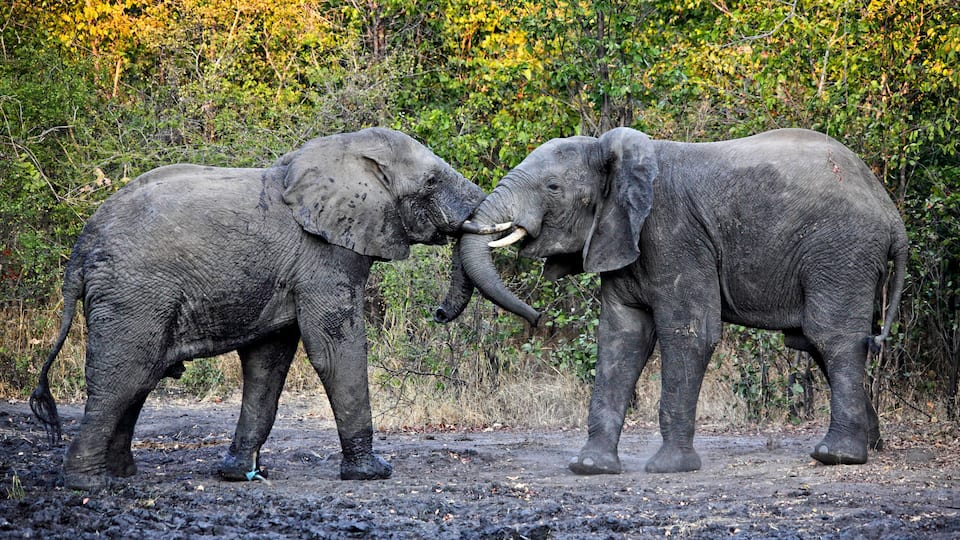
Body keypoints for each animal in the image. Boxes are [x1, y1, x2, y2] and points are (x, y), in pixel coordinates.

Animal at [29, 127, 484, 490]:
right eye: (431, 180)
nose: (438, 314)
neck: (343, 150)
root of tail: (81, 251)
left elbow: (268, 362)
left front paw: (240, 474)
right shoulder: (323, 254)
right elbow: (334, 349)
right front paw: (372, 473)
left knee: (138, 380)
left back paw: (121, 473)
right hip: (134, 294)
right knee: (124, 376)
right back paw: (90, 484)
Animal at [453, 127, 908, 475]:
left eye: (553, 188)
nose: (536, 316)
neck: (614, 153)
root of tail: (891, 213)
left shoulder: (675, 236)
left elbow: (689, 334)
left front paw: (668, 468)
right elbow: (621, 339)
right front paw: (590, 467)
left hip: (841, 250)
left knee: (829, 337)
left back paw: (837, 456)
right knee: (816, 342)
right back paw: (872, 446)